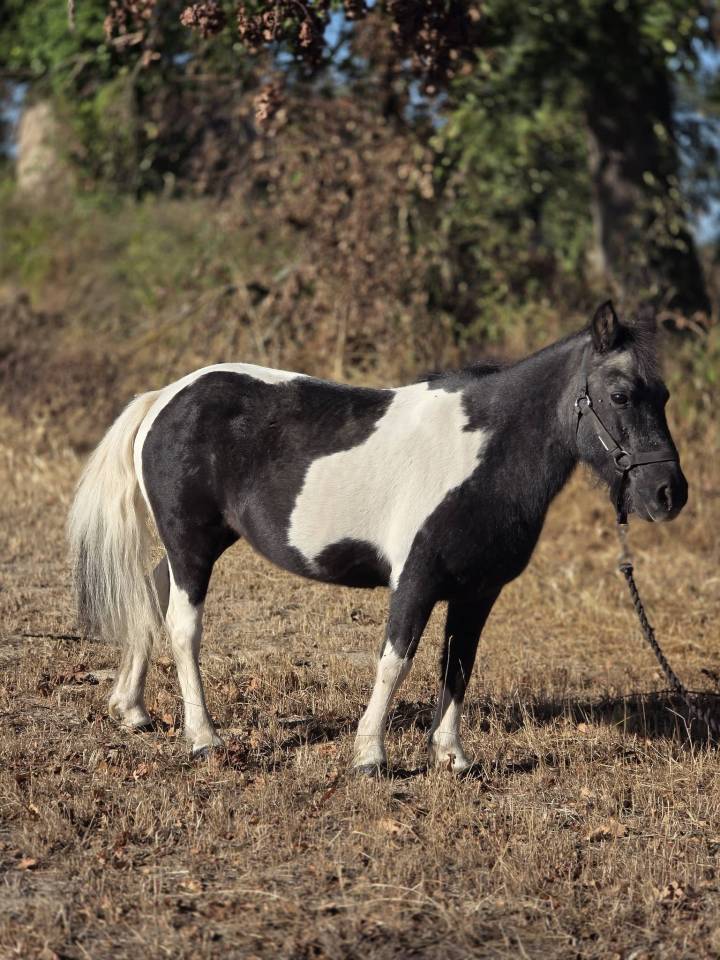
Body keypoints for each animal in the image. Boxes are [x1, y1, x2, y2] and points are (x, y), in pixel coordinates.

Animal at [68, 300, 687, 773]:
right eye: (620, 395)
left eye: (664, 396)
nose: (668, 494)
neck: (482, 455)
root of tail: (166, 397)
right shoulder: (415, 581)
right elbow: (396, 661)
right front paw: (370, 756)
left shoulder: (477, 593)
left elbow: (458, 666)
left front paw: (452, 757)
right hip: (192, 545)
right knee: (183, 627)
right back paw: (203, 738)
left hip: (201, 544)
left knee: (150, 593)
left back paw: (131, 708)